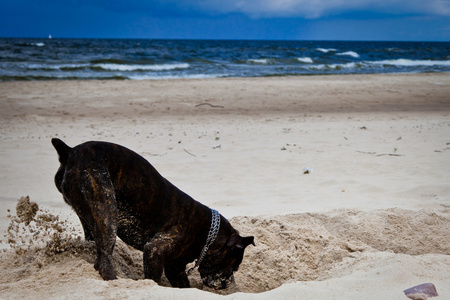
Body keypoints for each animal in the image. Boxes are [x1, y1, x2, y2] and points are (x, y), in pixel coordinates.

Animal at [51, 139, 255, 290]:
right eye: (234, 266)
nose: (227, 284)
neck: (208, 234)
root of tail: (70, 151)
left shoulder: (175, 267)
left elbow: (183, 285)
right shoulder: (154, 251)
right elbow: (154, 279)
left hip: (89, 217)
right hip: (106, 212)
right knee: (104, 258)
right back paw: (115, 280)